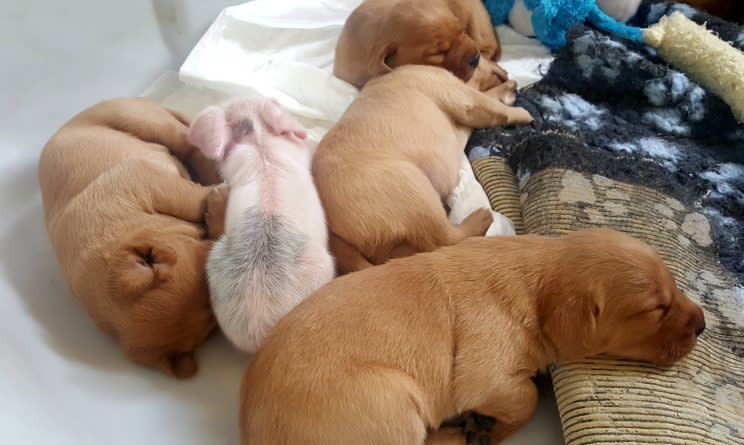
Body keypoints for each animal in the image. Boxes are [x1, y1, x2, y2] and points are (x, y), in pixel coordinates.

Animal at [241, 229, 708, 444]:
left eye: (673, 288)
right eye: (656, 309)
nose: (703, 323)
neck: (537, 282)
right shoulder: (484, 375)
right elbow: (526, 399)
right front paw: (488, 425)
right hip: (391, 399)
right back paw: (460, 433)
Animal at [314, 59, 536, 274]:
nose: (511, 79)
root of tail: (333, 233)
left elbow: (489, 95)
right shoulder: (462, 96)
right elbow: (493, 106)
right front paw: (521, 112)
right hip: (414, 188)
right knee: (443, 239)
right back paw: (478, 220)